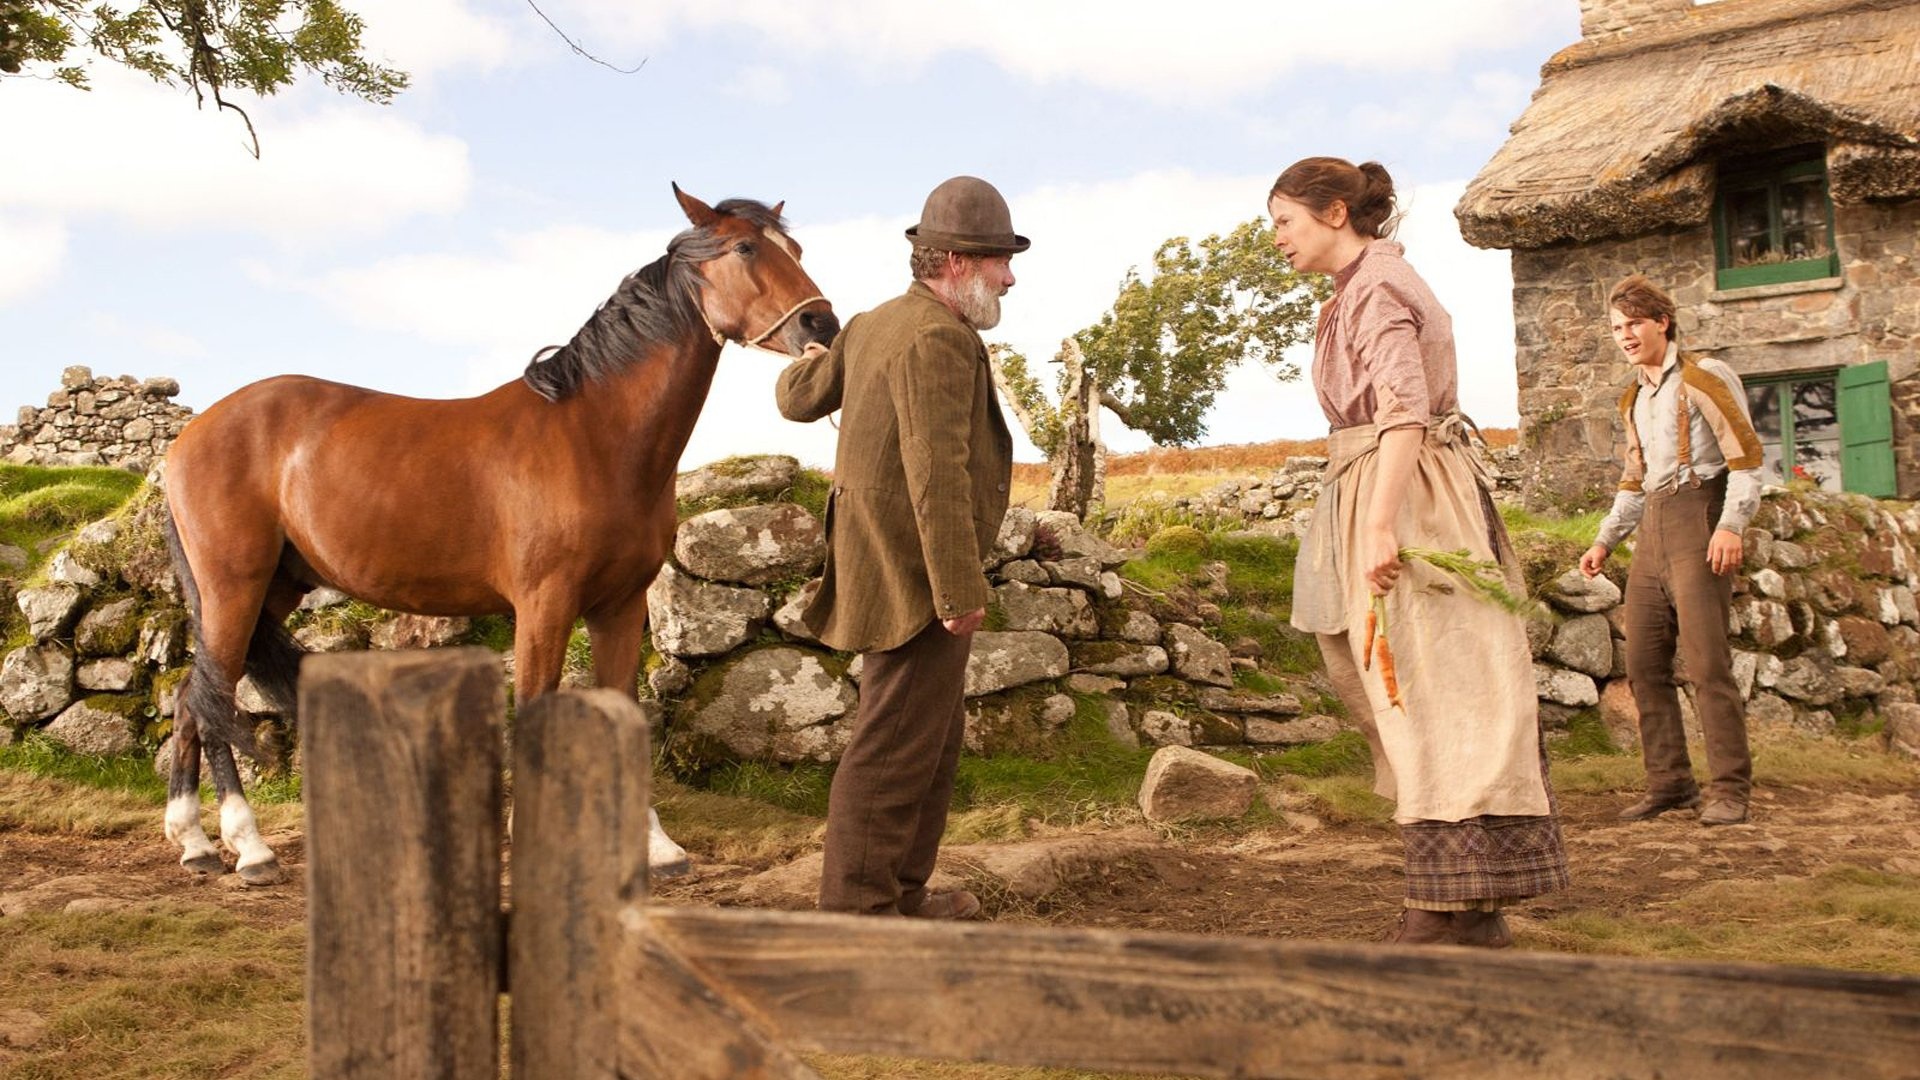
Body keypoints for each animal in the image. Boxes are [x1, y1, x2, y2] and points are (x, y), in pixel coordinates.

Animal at [157, 184, 833, 883]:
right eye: (745, 248)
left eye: (797, 252)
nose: (822, 326)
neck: (594, 437)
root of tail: (189, 438)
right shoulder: (544, 604)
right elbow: (533, 704)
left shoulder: (621, 606)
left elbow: (626, 709)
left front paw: (657, 848)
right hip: (233, 588)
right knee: (211, 700)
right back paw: (249, 847)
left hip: (272, 589)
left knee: (189, 697)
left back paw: (195, 842)